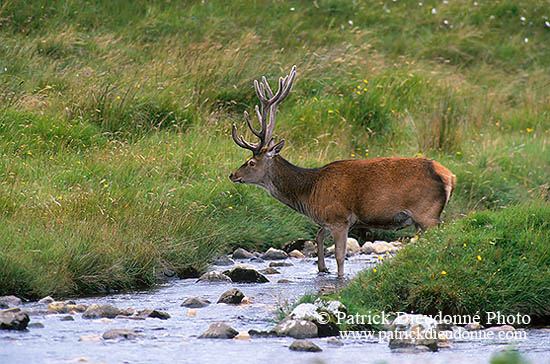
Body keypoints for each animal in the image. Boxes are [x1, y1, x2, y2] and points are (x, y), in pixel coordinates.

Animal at [229, 66, 458, 276]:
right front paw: (322, 268)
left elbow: (340, 255)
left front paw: (338, 277)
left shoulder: (339, 217)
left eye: (251, 162)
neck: (310, 193)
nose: (233, 174)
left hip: (427, 213)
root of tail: (450, 176)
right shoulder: (328, 219)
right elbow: (319, 236)